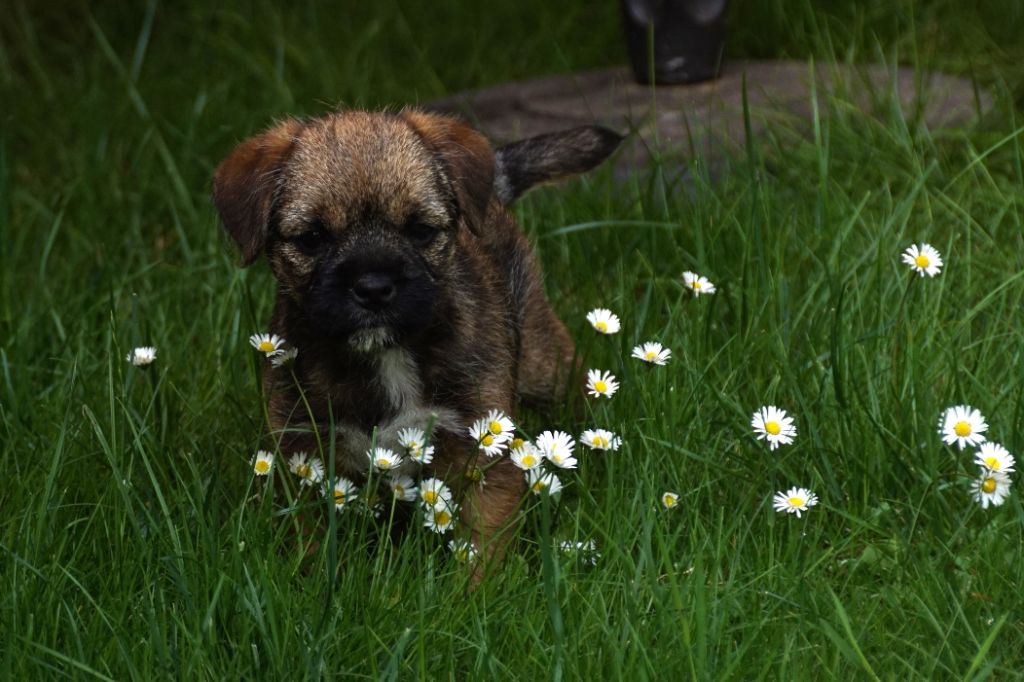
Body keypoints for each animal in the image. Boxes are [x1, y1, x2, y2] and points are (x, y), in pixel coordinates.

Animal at [211, 110, 618, 569]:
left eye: (421, 230)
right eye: (312, 238)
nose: (373, 287)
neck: (386, 355)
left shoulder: (483, 449)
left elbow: (481, 547)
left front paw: (475, 586)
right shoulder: (302, 453)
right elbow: (310, 545)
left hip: (540, 362)